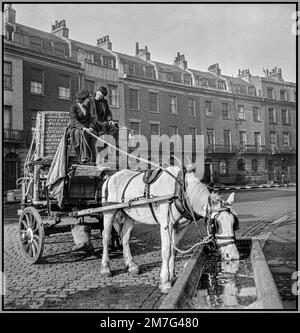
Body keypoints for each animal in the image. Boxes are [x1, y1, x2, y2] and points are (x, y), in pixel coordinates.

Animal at [100, 165, 239, 292]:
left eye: (234, 224)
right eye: (216, 225)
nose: (233, 256)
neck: (180, 192)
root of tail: (110, 177)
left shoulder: (180, 227)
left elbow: (174, 250)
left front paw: (172, 276)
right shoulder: (166, 225)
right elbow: (166, 251)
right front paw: (165, 282)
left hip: (129, 215)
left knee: (125, 237)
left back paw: (131, 265)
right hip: (109, 211)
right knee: (106, 237)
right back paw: (105, 268)